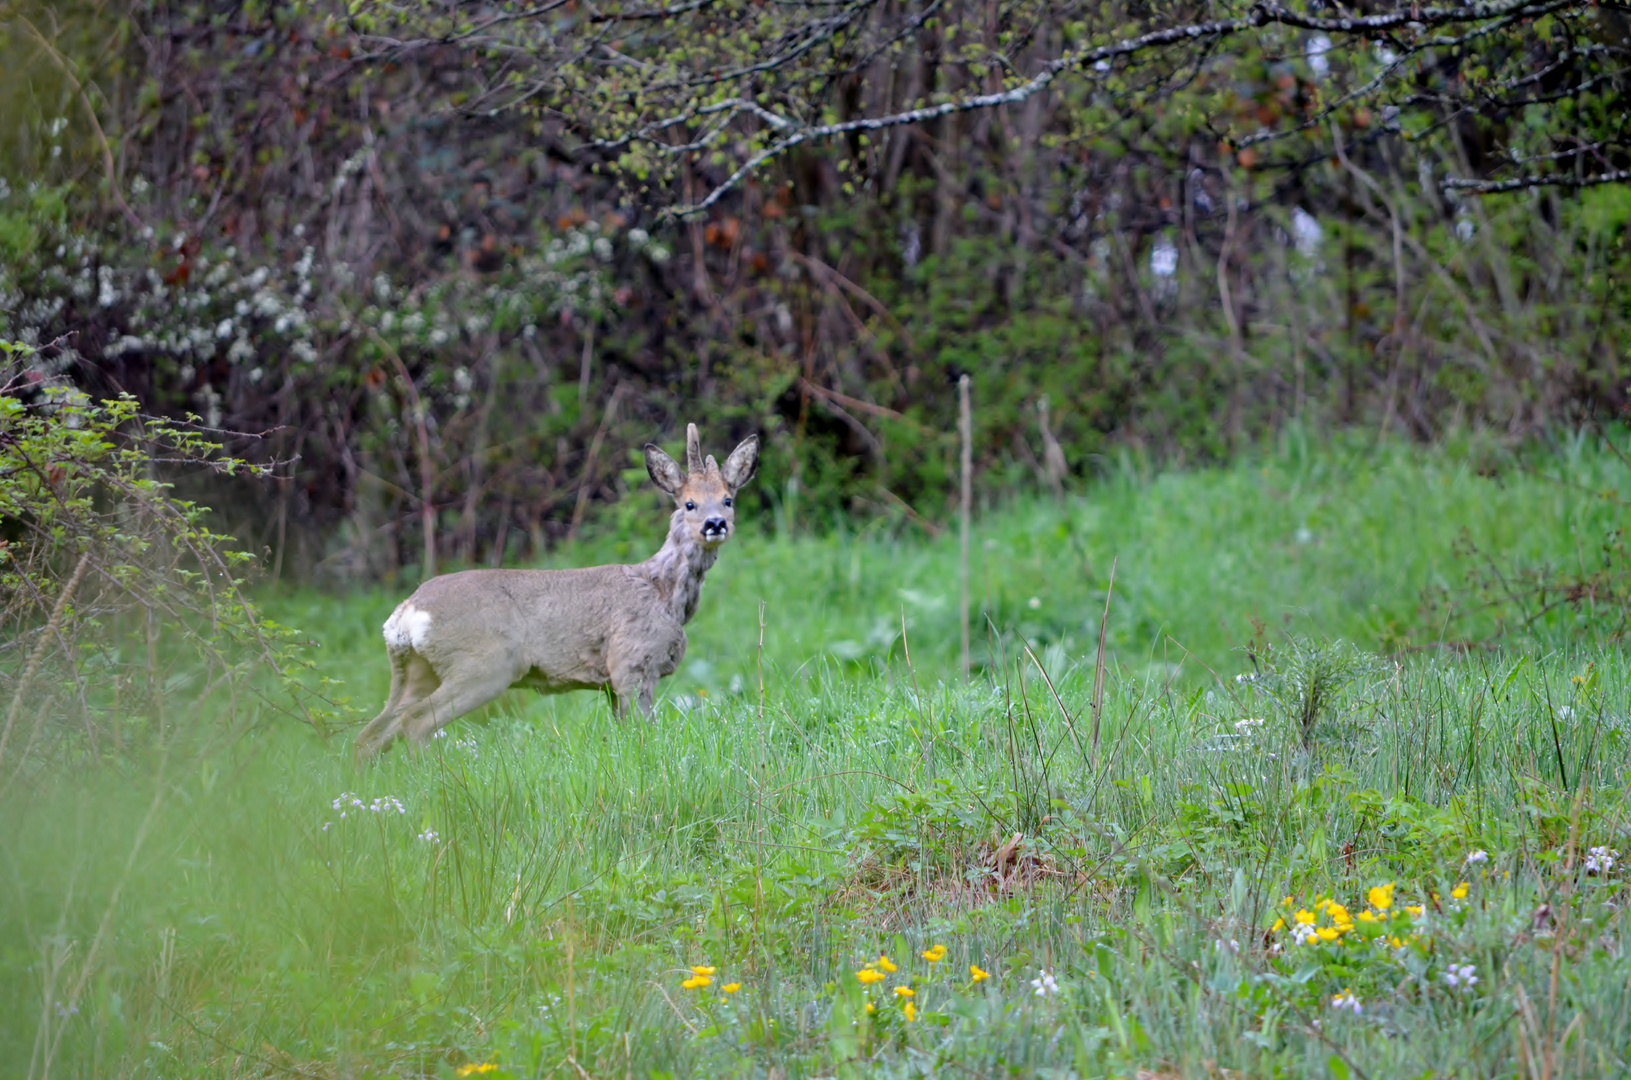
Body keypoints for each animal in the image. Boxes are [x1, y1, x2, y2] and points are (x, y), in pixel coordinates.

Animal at [353, 424, 760, 760]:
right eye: (689, 503)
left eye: (727, 499)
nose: (715, 523)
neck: (663, 592)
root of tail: (407, 612)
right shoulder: (632, 662)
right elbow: (643, 733)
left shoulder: (614, 682)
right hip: (483, 663)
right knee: (415, 723)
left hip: (414, 668)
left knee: (373, 732)